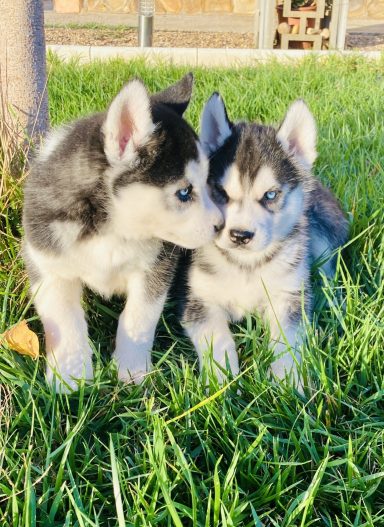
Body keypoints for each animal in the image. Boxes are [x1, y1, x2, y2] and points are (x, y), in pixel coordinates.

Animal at [23, 75, 222, 392]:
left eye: (207, 183)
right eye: (184, 192)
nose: (220, 225)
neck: (112, 229)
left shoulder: (157, 268)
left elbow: (138, 317)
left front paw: (132, 372)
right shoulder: (49, 264)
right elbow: (65, 323)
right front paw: (71, 377)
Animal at [180, 94, 348, 384]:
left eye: (270, 195)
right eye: (220, 192)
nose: (240, 235)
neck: (245, 264)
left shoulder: (286, 297)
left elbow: (286, 344)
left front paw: (290, 383)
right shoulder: (199, 299)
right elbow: (219, 340)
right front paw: (223, 382)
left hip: (321, 230)